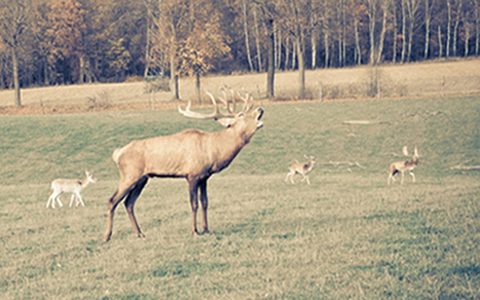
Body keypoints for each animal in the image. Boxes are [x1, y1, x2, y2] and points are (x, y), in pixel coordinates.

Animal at [104, 89, 266, 241]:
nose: (260, 109)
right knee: (112, 200)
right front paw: (194, 231)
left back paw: (140, 233)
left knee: (128, 203)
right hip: (129, 175)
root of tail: (118, 153)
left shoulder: (204, 177)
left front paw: (206, 229)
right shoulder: (192, 174)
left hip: (142, 179)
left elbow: (205, 202)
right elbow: (194, 203)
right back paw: (107, 236)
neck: (213, 152)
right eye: (241, 114)